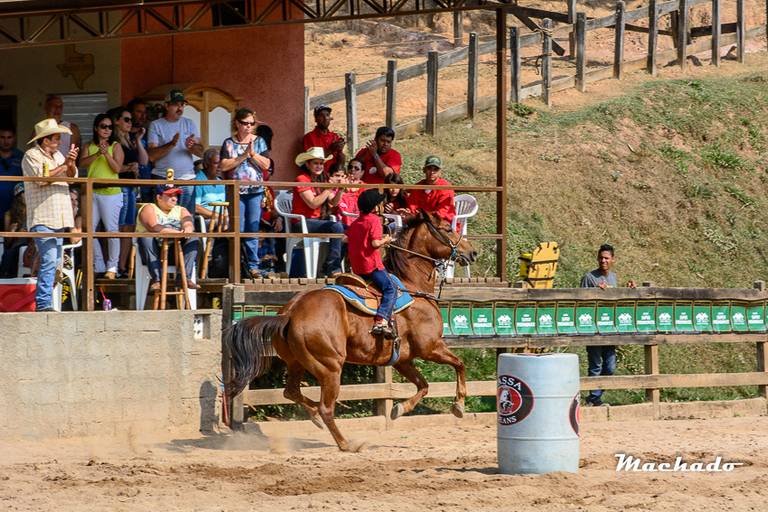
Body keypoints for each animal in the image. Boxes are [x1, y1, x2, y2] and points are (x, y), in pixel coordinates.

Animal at [223, 210, 478, 451]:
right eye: (447, 228)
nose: (472, 252)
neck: (412, 287)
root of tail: (290, 314)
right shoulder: (430, 347)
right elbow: (460, 364)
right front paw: (459, 406)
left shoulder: (402, 360)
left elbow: (423, 385)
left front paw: (399, 408)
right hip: (330, 368)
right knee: (326, 408)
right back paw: (346, 443)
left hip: (297, 362)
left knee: (291, 392)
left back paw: (314, 416)